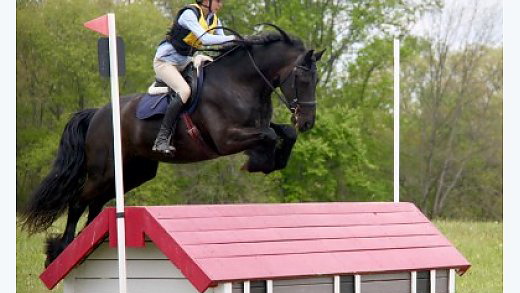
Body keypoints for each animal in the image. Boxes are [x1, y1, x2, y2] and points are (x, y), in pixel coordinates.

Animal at [21, 28, 324, 266]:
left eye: (317, 80)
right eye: (303, 79)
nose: (307, 122)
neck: (240, 82)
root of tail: (96, 113)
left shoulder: (255, 127)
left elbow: (283, 132)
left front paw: (271, 160)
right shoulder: (226, 139)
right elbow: (270, 136)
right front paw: (259, 162)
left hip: (134, 172)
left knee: (95, 204)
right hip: (103, 171)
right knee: (77, 201)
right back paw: (61, 249)